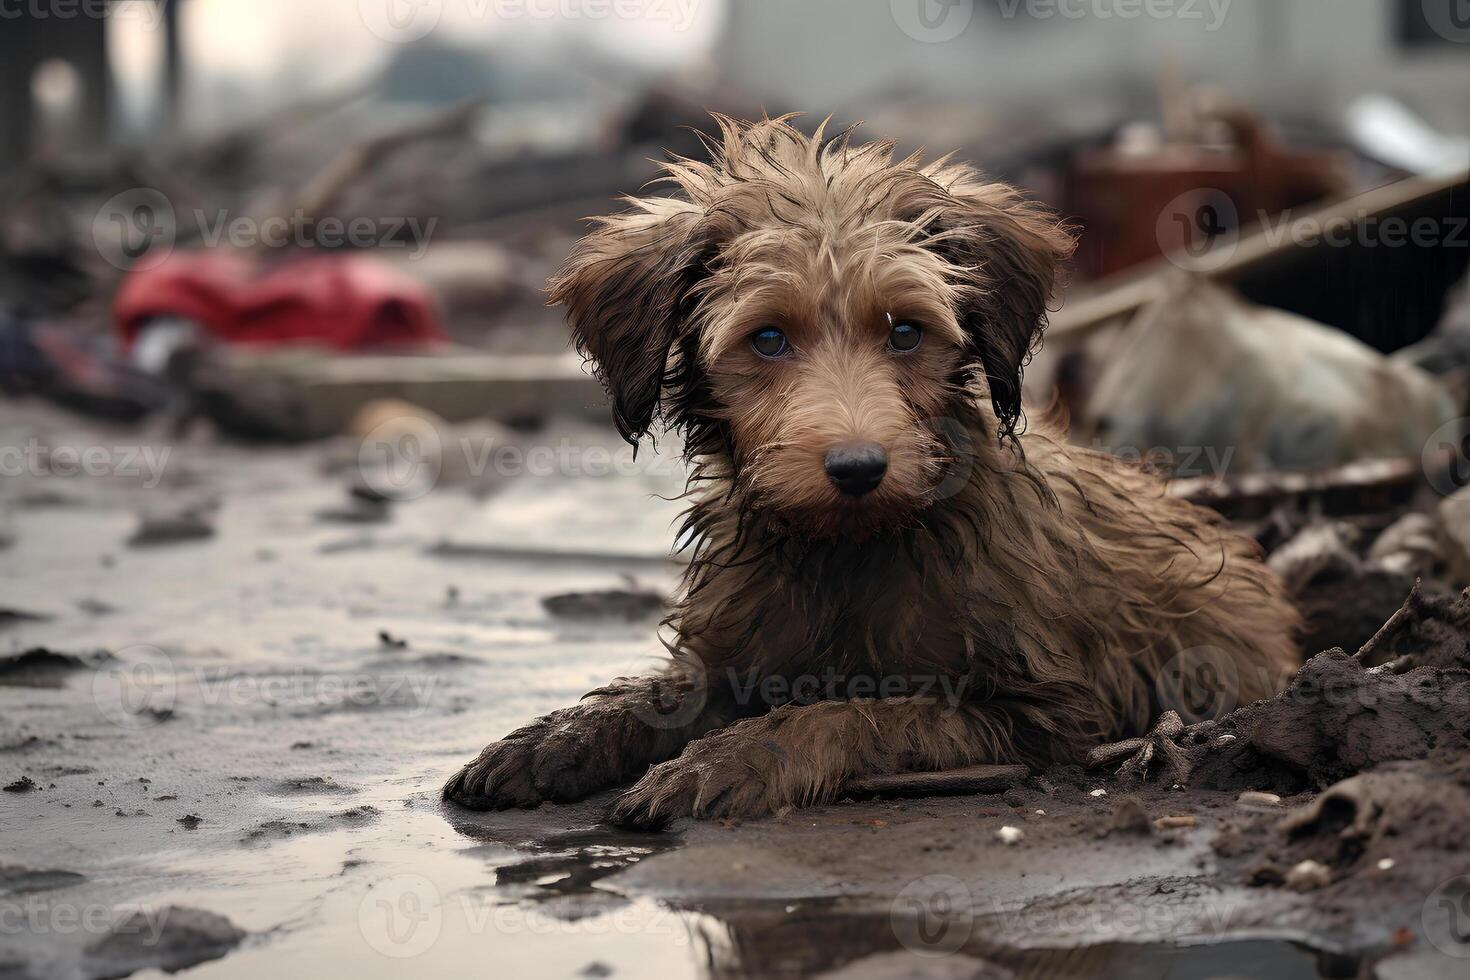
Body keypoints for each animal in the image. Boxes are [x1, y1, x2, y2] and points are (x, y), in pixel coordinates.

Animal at [438, 119, 1299, 834]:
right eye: (768, 338)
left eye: (907, 331)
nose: (857, 467)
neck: (851, 547)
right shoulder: (741, 650)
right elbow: (660, 694)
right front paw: (556, 737)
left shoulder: (1049, 711)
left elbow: (865, 714)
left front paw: (733, 759)